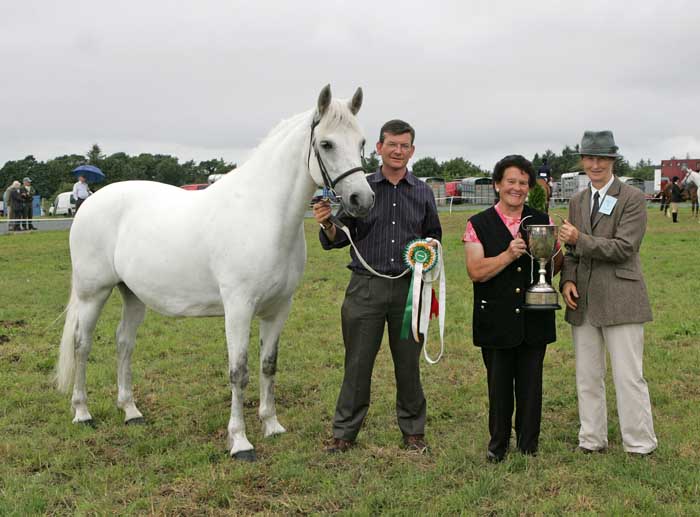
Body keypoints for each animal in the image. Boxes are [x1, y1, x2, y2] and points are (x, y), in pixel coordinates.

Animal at [56, 84, 374, 460]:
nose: (362, 199)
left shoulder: (279, 308)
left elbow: (268, 365)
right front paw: (240, 442)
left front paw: (272, 425)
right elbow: (239, 371)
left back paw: (131, 411)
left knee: (124, 343)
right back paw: (82, 412)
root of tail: (90, 202)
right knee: (82, 344)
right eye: (326, 144)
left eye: (362, 142)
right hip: (93, 292)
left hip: (132, 294)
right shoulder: (238, 307)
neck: (263, 213)